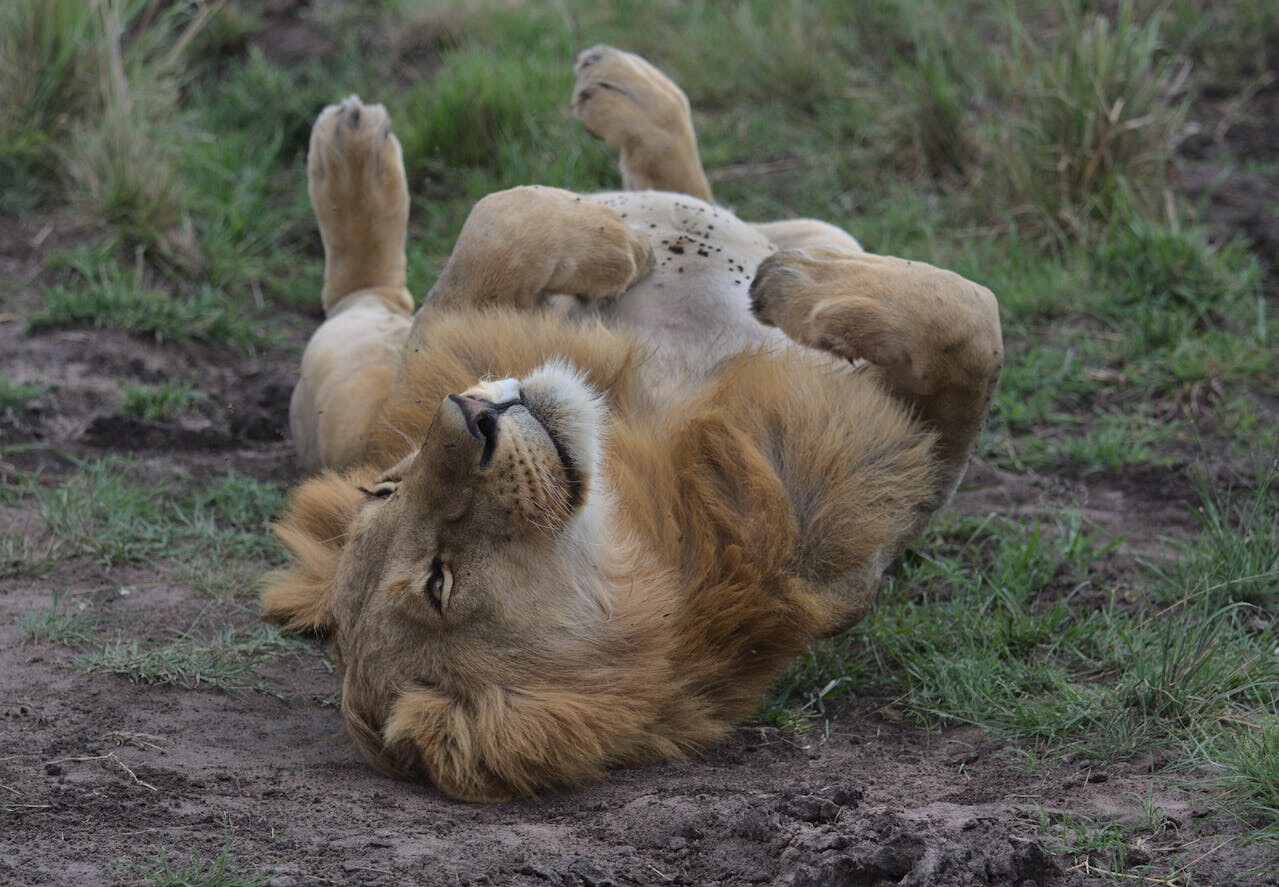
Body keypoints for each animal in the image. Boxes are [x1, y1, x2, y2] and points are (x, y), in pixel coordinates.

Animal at [261, 46, 1003, 803]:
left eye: (385, 489)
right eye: (440, 581)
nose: (471, 414)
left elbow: (494, 220)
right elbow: (974, 325)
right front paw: (675, 259)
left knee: (712, 205)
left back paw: (623, 94)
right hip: (339, 383)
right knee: (360, 298)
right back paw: (355, 142)